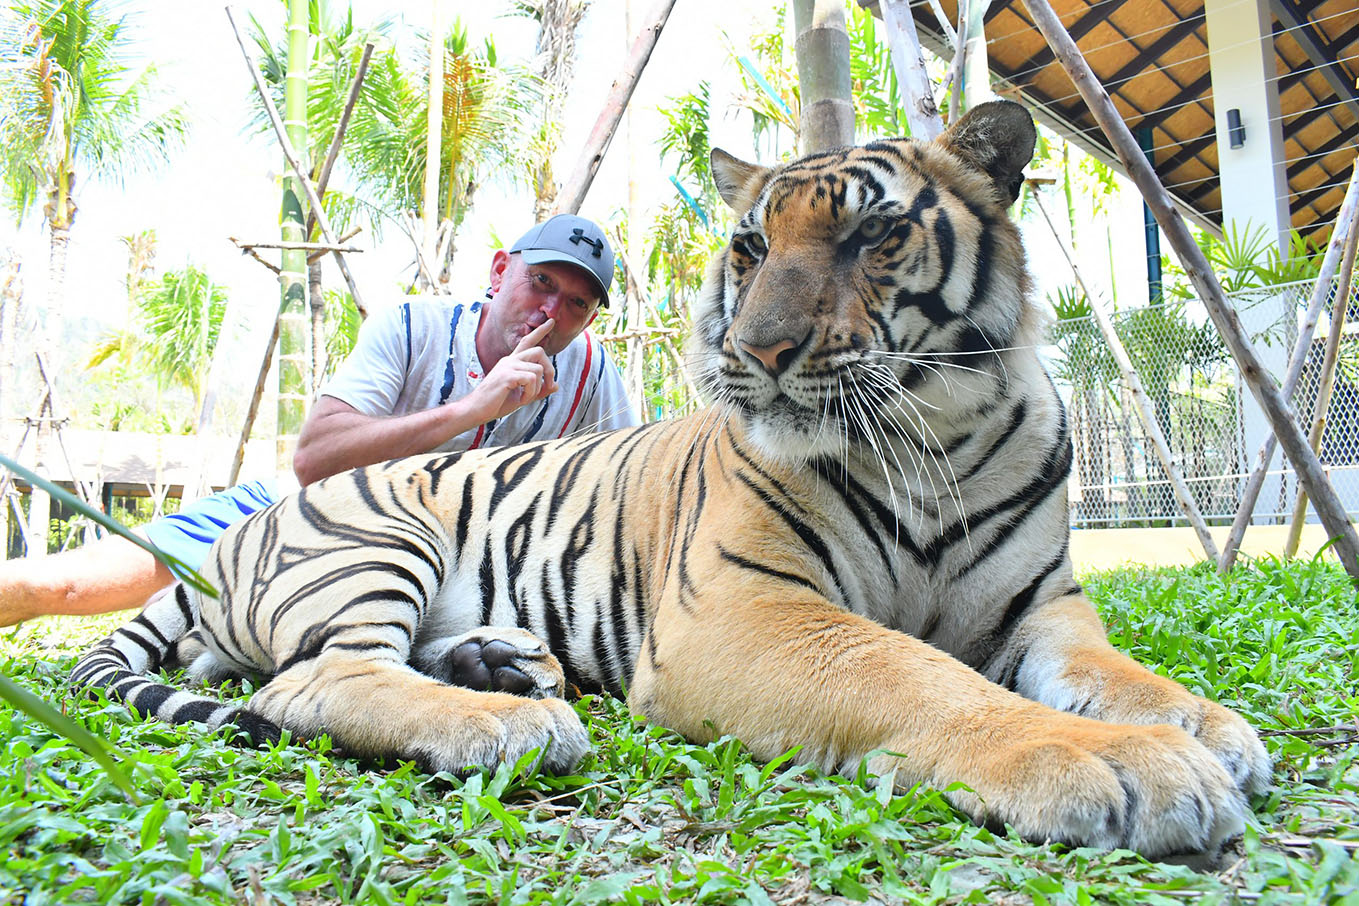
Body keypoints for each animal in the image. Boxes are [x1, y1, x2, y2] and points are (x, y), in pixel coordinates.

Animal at [73, 99, 1270, 858]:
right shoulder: (742, 611)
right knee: (308, 678)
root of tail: (239, 532)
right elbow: (919, 677)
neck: (937, 438)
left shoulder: (1043, 611)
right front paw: (1120, 763)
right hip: (376, 537)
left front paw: (1205, 725)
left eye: (874, 234)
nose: (759, 348)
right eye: (749, 246)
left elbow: (1120, 671)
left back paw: (503, 667)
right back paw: (507, 724)